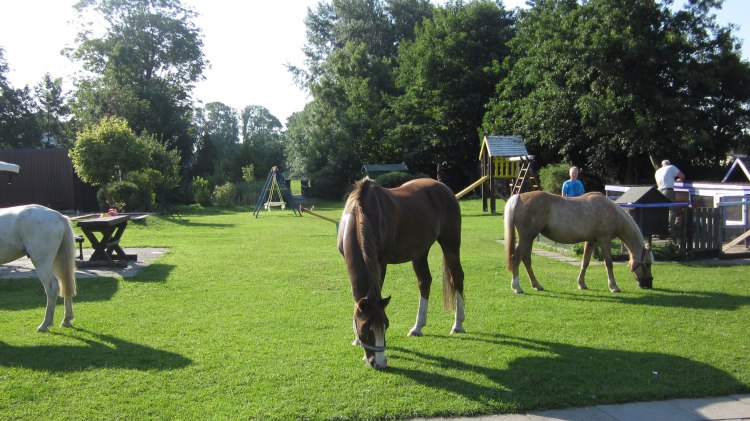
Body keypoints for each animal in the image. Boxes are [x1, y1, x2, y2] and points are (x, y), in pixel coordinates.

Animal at [0, 204, 77, 332]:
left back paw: (45, 324)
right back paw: (66, 320)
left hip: (42, 263)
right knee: (66, 285)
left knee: (52, 288)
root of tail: (58, 216)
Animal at [340, 177, 468, 368]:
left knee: (457, 278)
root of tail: (444, 188)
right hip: (420, 251)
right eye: (365, 329)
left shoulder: (381, 262)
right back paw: (418, 327)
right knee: (424, 281)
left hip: (450, 243)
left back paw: (457, 324)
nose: (380, 363)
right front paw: (356, 339)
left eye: (386, 325)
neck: (360, 213)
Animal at [508, 191, 656, 294]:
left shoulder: (591, 241)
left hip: (529, 238)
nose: (648, 284)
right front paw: (613, 286)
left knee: (526, 259)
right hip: (527, 237)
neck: (611, 212)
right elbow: (608, 263)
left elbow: (585, 262)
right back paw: (517, 287)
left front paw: (581, 284)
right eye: (648, 264)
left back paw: (536, 285)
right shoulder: (604, 240)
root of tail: (519, 196)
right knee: (517, 257)